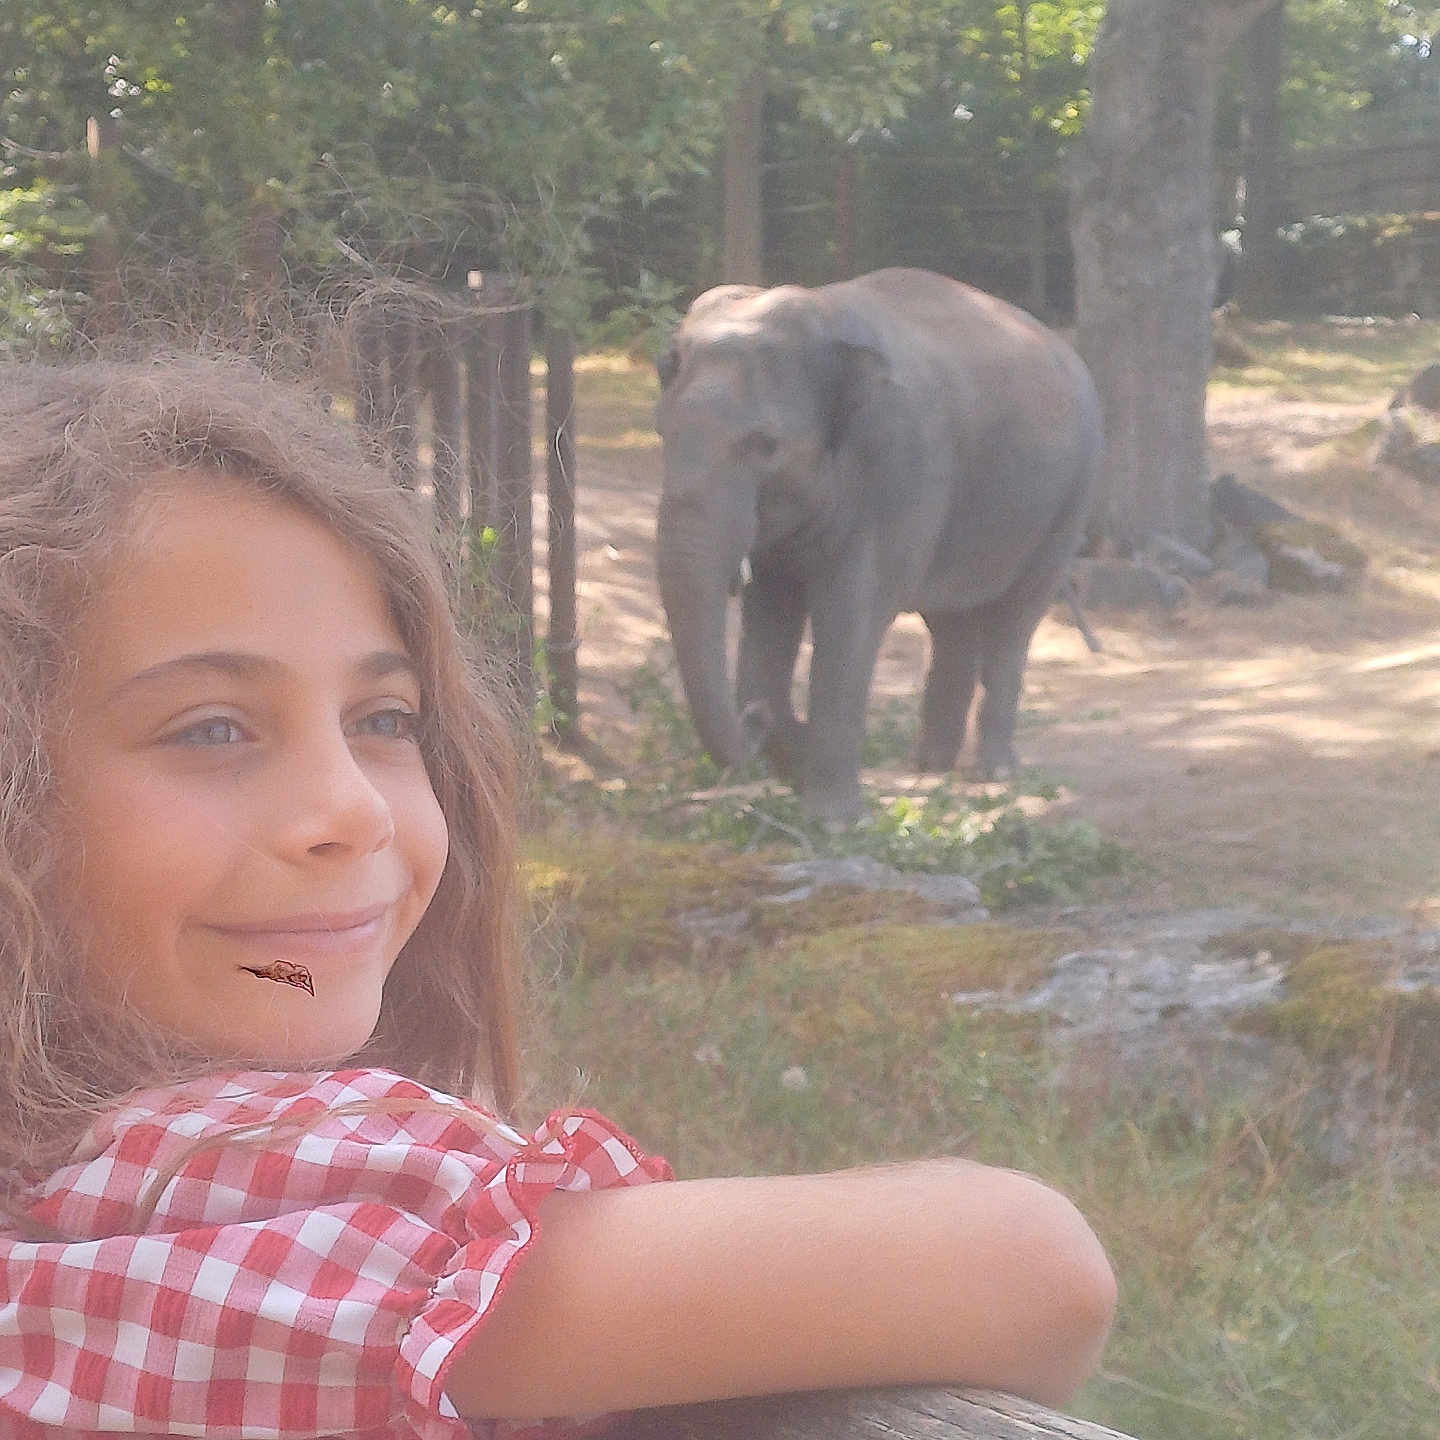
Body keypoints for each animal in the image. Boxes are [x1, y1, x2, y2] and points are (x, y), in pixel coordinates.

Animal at [654, 267, 1102, 824]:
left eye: (765, 446)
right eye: (661, 431)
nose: (754, 719)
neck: (815, 311)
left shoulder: (898, 463)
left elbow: (853, 612)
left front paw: (833, 821)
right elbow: (771, 609)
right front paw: (794, 762)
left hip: (1071, 496)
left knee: (1015, 617)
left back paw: (992, 772)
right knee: (950, 621)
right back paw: (929, 765)